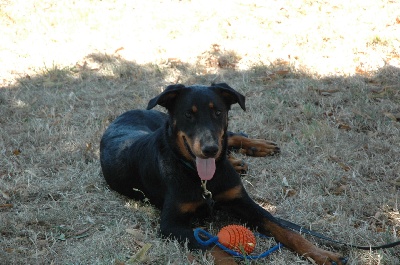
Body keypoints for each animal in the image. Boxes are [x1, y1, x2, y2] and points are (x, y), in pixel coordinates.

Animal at [98, 83, 346, 264]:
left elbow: (286, 230)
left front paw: (322, 254)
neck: (202, 178)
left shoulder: (243, 202)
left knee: (234, 136)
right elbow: (211, 244)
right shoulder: (171, 224)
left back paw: (256, 148)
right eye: (188, 115)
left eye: (218, 112)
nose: (210, 149)